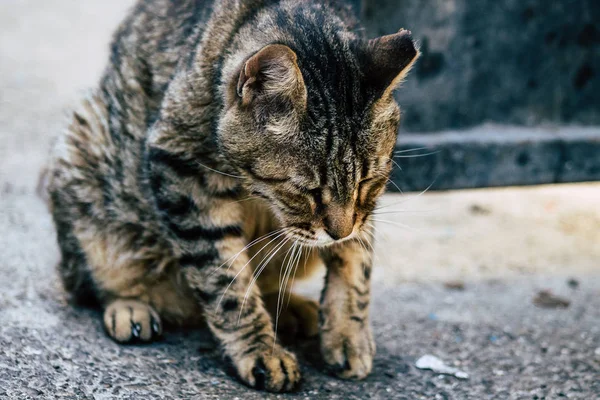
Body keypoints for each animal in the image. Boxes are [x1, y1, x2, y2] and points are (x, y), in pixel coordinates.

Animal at [44, 0, 418, 390]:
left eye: (368, 182)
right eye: (306, 190)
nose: (339, 231)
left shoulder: (363, 212)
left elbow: (357, 262)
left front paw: (348, 334)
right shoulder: (181, 170)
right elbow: (226, 281)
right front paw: (261, 351)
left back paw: (293, 310)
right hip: (85, 154)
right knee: (91, 281)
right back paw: (130, 306)